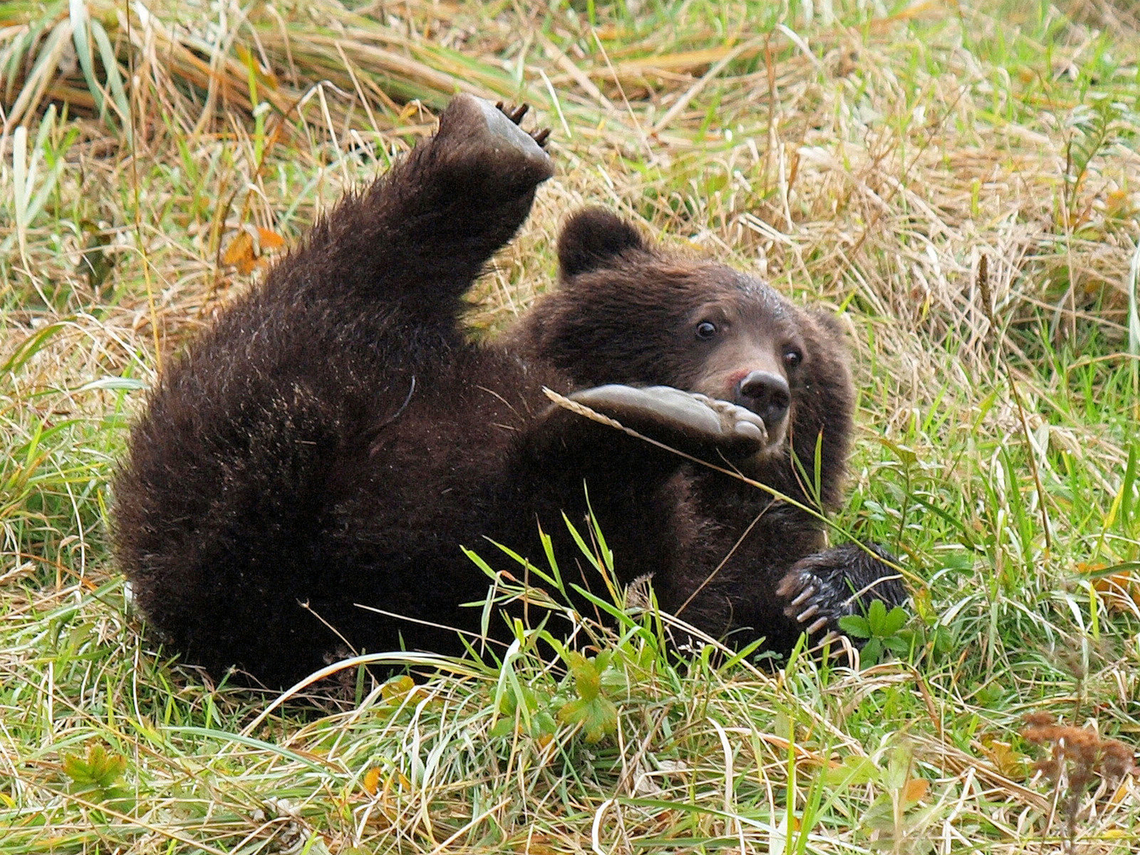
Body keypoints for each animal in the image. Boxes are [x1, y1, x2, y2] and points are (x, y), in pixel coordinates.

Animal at [112, 94, 907, 691]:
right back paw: (493, 148)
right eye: (708, 322)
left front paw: (828, 590)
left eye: (796, 354)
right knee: (324, 294)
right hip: (257, 426)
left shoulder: (733, 556)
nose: (762, 390)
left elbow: (748, 607)